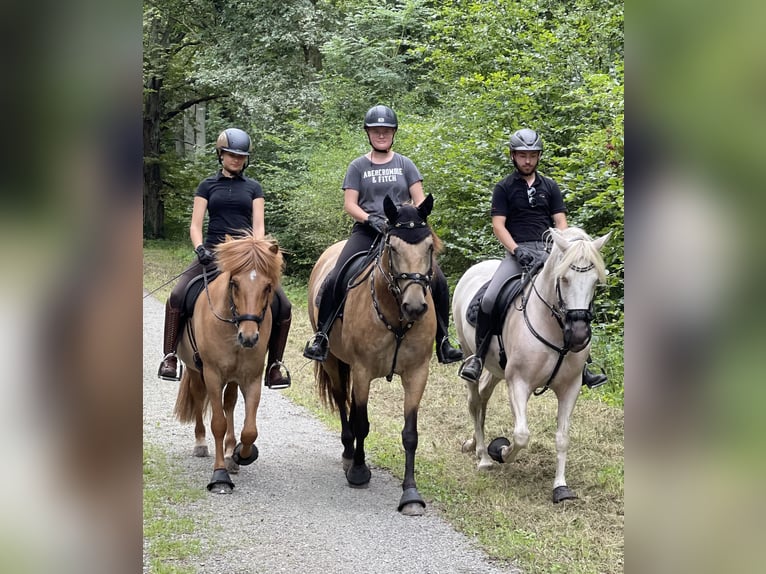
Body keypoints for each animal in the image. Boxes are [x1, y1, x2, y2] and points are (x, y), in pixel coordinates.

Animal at [172, 234, 284, 496]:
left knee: (230, 403)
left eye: (267, 287)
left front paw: (241, 454)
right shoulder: (212, 375)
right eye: (234, 283)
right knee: (199, 397)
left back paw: (232, 450)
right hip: (195, 370)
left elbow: (250, 429)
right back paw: (201, 443)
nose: (249, 338)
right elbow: (218, 423)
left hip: (232, 377)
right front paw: (220, 475)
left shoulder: (252, 378)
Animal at [306, 196, 438, 516]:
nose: (415, 307)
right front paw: (358, 472)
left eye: (429, 246)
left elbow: (410, 434)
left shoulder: (417, 373)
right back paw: (348, 453)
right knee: (343, 402)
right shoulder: (363, 370)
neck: (397, 318)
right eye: (393, 247)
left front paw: (411, 493)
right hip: (334, 362)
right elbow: (362, 423)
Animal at [456, 227, 612, 506]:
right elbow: (521, 435)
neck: (554, 329)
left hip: (496, 369)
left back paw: (474, 444)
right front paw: (501, 451)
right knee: (474, 401)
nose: (579, 335)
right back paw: (484, 456)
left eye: (595, 281)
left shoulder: (570, 388)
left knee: (483, 396)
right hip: (468, 354)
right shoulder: (519, 383)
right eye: (564, 279)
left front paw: (561, 487)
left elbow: (562, 438)